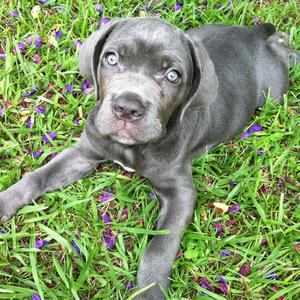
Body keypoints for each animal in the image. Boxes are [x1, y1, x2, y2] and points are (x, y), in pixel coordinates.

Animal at [0, 17, 298, 298]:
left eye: (173, 75)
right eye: (111, 59)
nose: (127, 107)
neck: (132, 148)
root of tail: (253, 34)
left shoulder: (180, 195)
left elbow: (159, 248)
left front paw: (148, 292)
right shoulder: (84, 153)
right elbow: (39, 175)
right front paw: (6, 200)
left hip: (273, 92)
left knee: (281, 53)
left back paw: (287, 46)